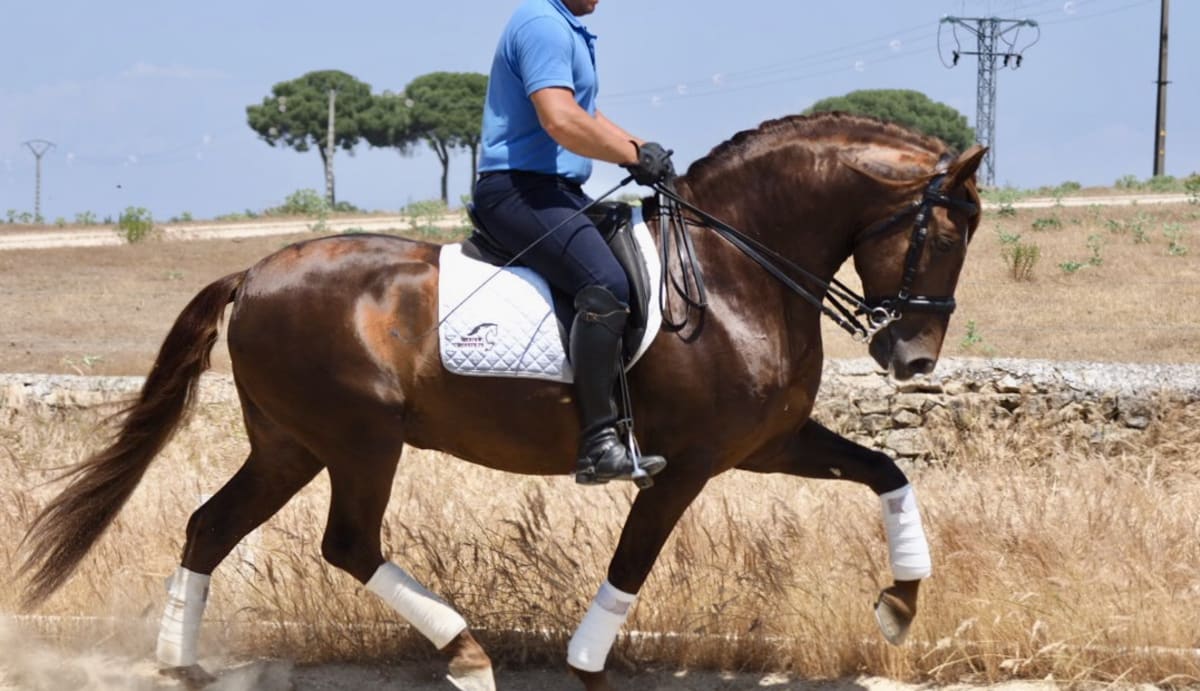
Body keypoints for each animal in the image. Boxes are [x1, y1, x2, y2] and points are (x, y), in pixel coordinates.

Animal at [19, 112, 984, 691]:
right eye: (942, 230)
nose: (911, 357)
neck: (732, 270)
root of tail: (253, 272)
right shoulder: (688, 464)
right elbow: (633, 561)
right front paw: (588, 662)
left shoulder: (767, 442)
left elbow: (889, 471)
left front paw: (899, 606)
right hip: (359, 440)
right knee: (346, 542)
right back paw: (465, 651)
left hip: (289, 444)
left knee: (211, 525)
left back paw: (179, 663)